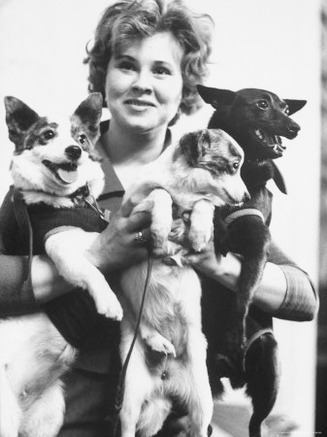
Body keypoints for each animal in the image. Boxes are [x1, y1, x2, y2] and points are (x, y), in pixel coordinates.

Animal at [0, 93, 123, 436]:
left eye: (81, 138)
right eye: (47, 135)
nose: (75, 151)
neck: (73, 201)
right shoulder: (59, 245)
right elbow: (91, 270)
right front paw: (109, 300)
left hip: (51, 413)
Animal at [118, 127, 249, 436]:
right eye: (234, 166)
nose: (247, 196)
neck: (184, 189)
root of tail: (164, 379)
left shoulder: (200, 202)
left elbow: (205, 203)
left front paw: (199, 232)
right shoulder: (134, 209)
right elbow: (159, 194)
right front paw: (160, 227)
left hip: (201, 400)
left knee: (199, 425)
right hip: (130, 396)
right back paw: (158, 341)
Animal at [197, 84, 308, 436]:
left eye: (285, 107)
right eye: (261, 104)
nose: (295, 127)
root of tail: (230, 371)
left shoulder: (258, 246)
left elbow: (244, 290)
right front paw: (216, 224)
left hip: (268, 370)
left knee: (256, 423)